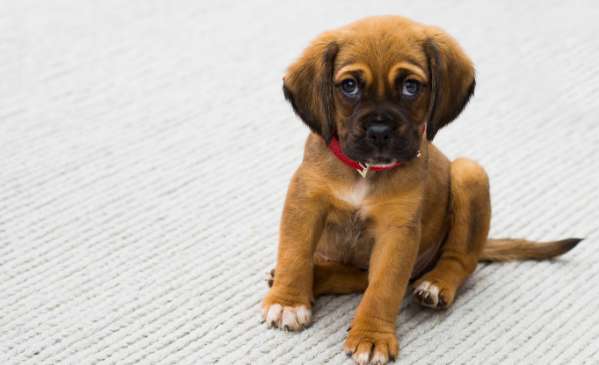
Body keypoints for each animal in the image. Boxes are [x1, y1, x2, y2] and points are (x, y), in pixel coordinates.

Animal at [262, 15, 580, 362]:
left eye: (410, 87)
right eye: (349, 86)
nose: (379, 131)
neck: (364, 172)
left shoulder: (397, 232)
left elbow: (384, 288)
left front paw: (372, 336)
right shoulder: (305, 202)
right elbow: (295, 254)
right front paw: (289, 301)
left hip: (469, 173)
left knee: (461, 260)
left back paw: (436, 285)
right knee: (355, 275)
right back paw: (310, 277)